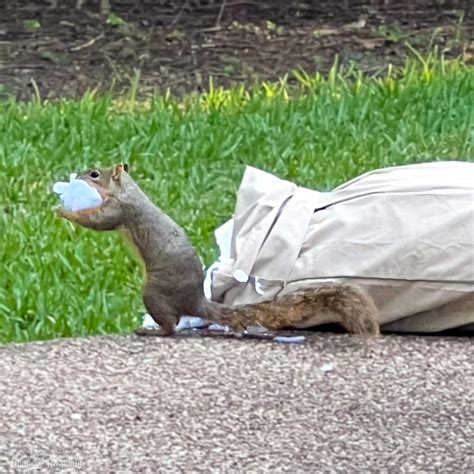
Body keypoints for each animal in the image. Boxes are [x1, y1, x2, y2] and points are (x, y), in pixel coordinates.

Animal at [56, 165, 382, 338]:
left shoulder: (120, 209)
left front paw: (64, 211)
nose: (79, 176)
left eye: (94, 174)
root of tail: (195, 301)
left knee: (170, 325)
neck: (128, 191)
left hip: (154, 293)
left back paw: (153, 331)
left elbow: (99, 222)